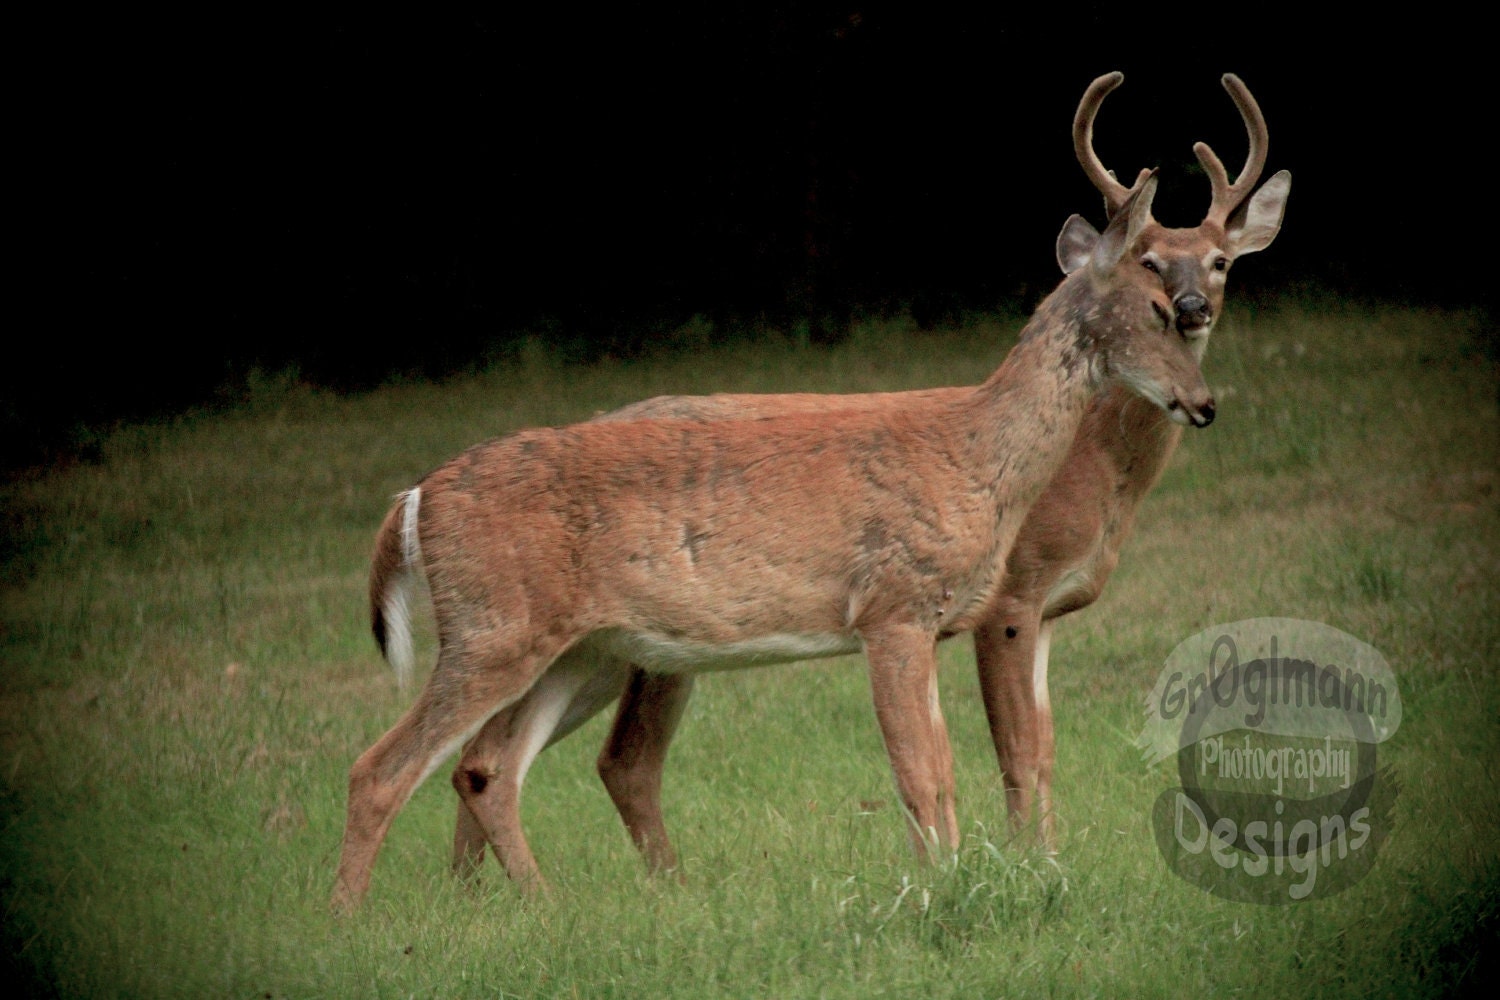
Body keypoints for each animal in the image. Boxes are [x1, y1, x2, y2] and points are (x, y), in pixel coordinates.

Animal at [331, 77, 1221, 913]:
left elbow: (941, 767)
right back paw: (348, 918)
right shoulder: (891, 606)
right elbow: (921, 771)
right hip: (494, 630)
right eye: (1158, 308)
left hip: (574, 643)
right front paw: (941, 888)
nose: (1205, 402)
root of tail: (414, 499)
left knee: (487, 766)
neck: (974, 452)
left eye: (1195, 308)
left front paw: (963, 876)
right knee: (382, 767)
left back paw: (541, 906)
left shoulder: (932, 619)